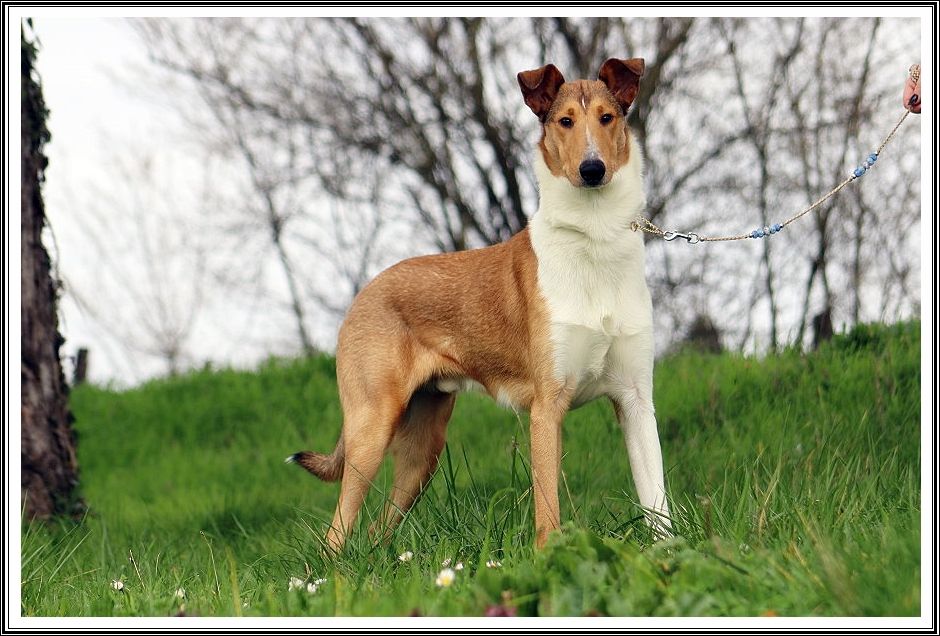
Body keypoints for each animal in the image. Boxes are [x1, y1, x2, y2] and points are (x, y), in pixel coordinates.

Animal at [289, 57, 671, 551]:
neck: (594, 238)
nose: (591, 169)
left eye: (607, 118)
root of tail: (364, 293)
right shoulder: (547, 406)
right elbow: (548, 510)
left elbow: (658, 505)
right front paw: (549, 559)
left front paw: (675, 554)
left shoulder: (636, 401)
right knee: (335, 533)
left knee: (376, 528)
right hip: (370, 428)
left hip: (423, 450)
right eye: (565, 122)